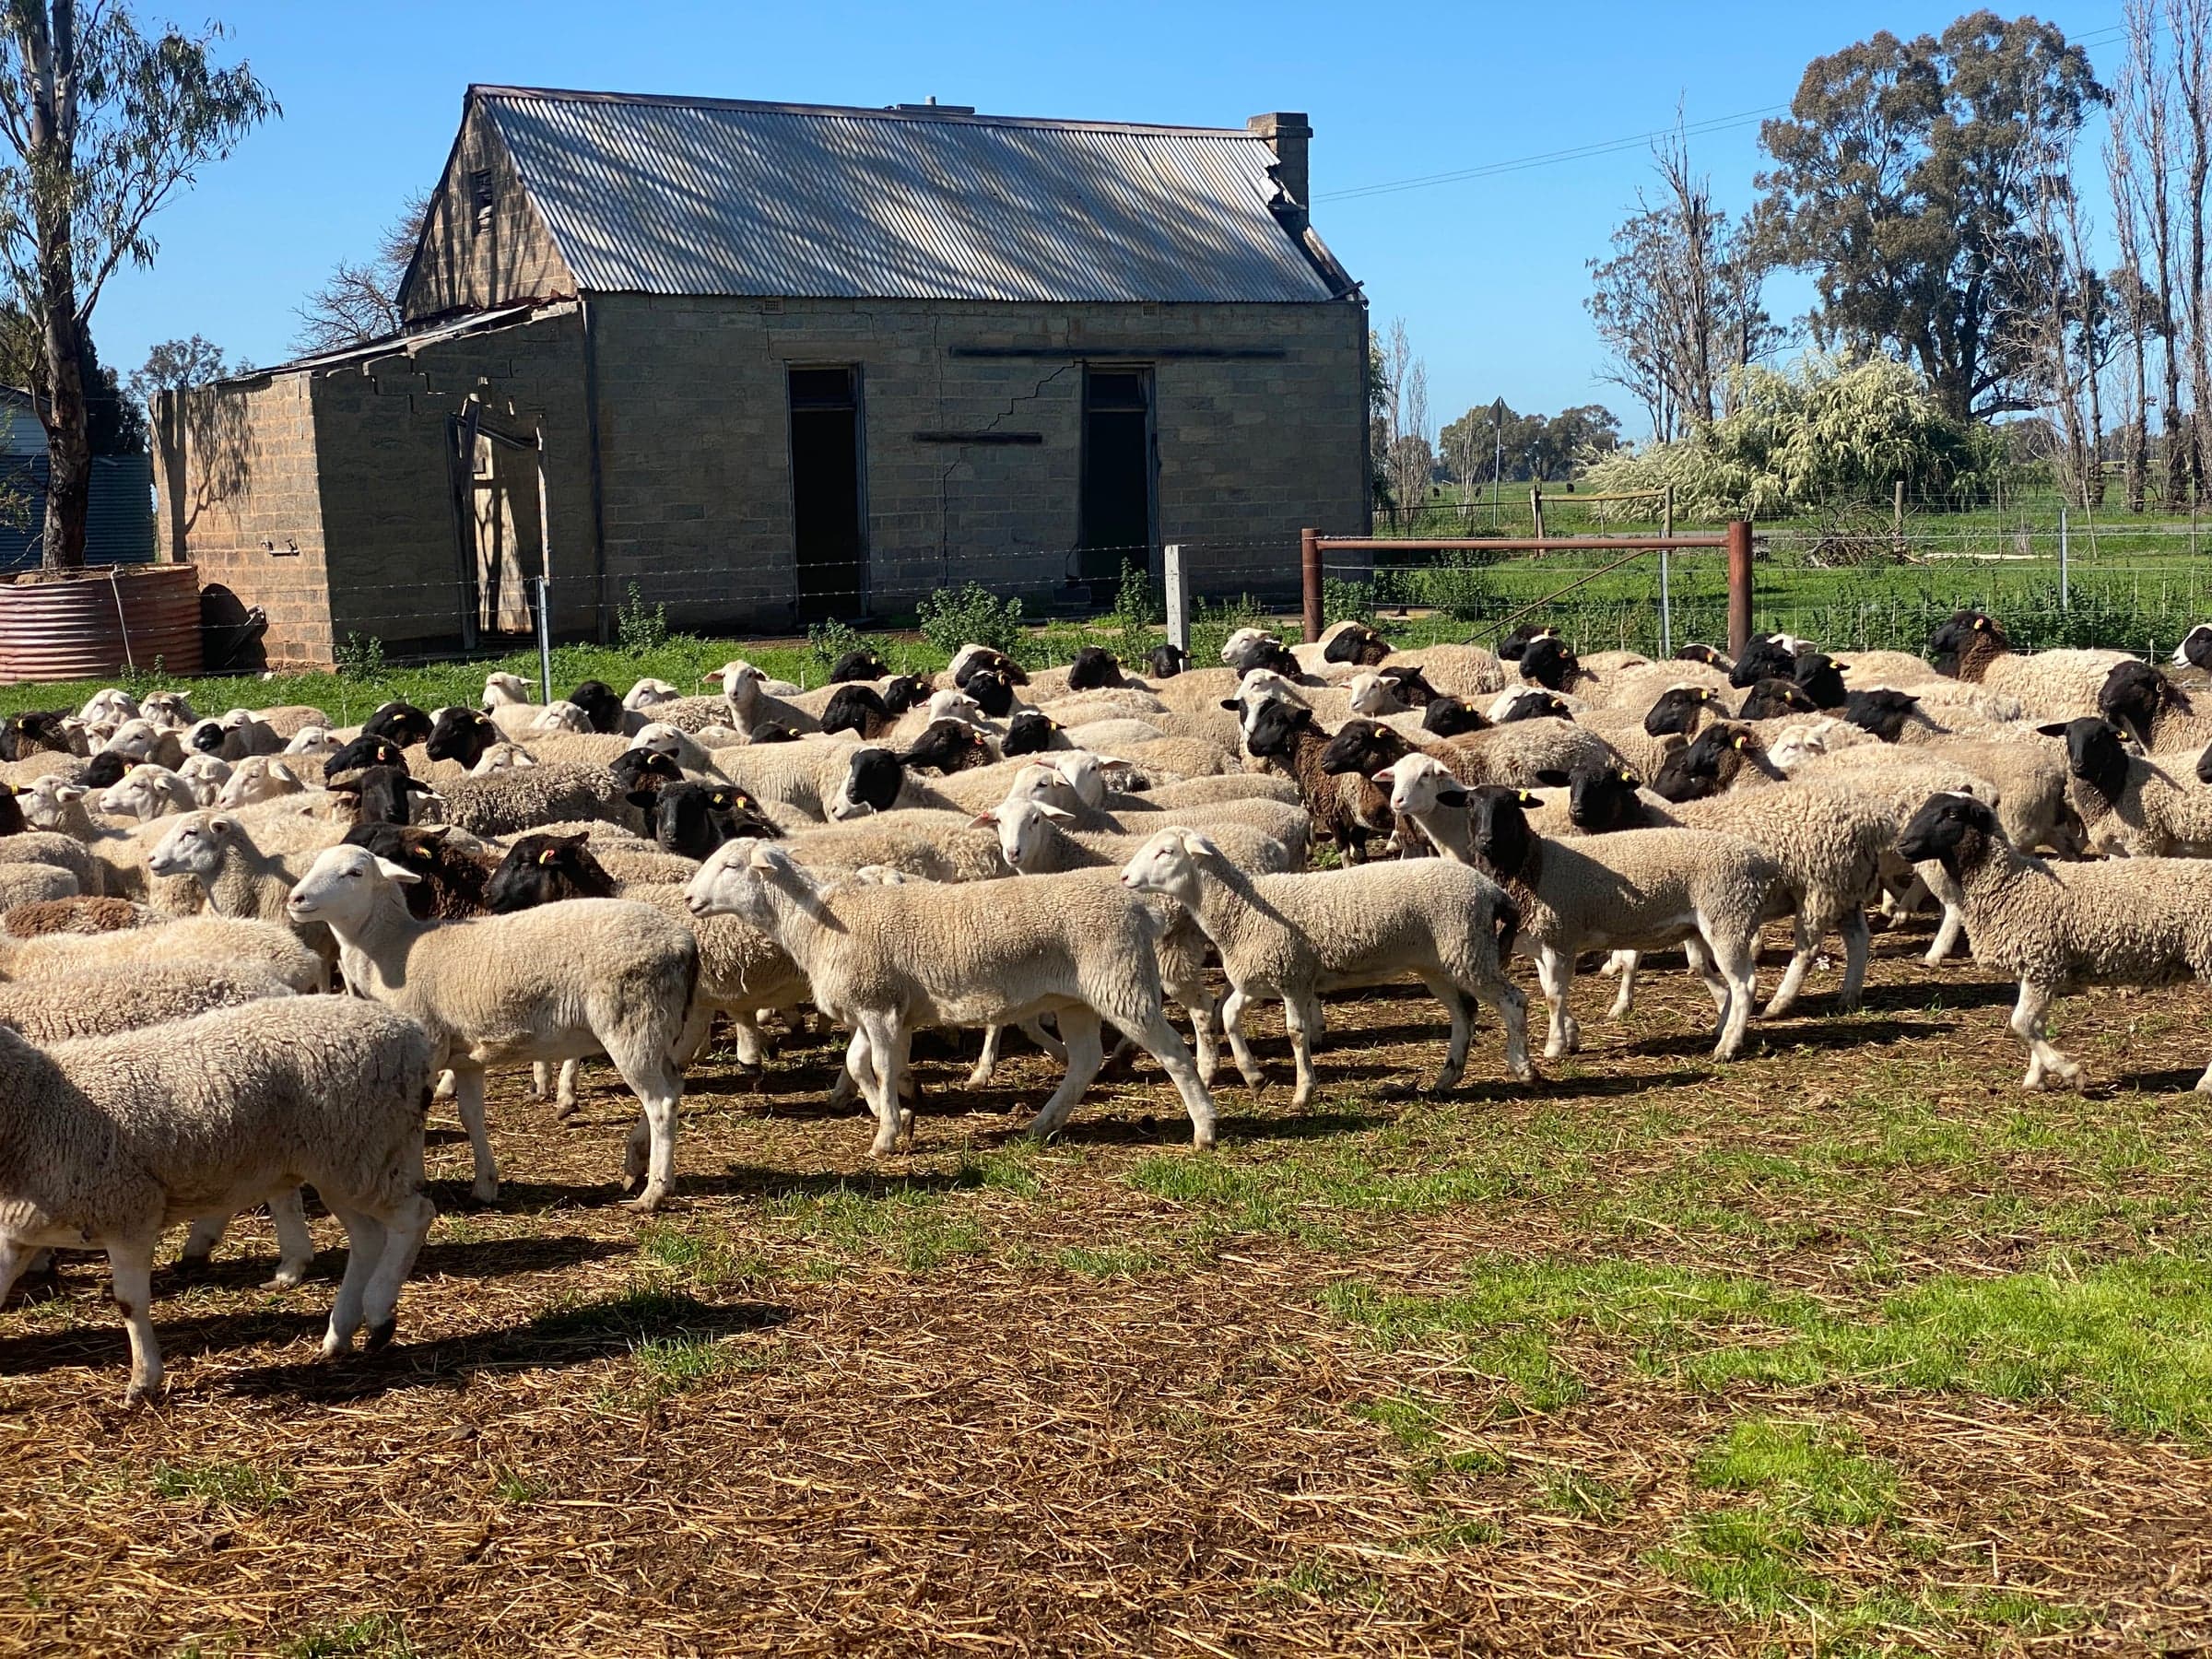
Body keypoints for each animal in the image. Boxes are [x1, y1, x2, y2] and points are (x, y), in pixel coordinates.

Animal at [0, 998, 436, 1401]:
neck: (41, 1103)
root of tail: (409, 1031)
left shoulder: (129, 1211)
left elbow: (130, 1303)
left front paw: (144, 1381)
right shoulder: (18, 1230)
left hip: (362, 1146)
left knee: (414, 1216)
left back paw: (378, 1313)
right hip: (339, 1163)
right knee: (368, 1238)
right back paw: (339, 1333)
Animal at [688, 841, 1217, 1152]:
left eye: (731, 866)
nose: (691, 901)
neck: (818, 920)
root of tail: (1138, 907)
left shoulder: (878, 1004)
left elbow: (881, 1068)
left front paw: (886, 1134)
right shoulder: (877, 1005)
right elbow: (860, 1066)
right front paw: (896, 1118)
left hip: (1121, 983)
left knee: (1174, 1053)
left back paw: (1205, 1129)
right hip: (1078, 1000)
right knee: (1086, 1060)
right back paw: (1041, 1125)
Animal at [1896, 790, 2212, 1091]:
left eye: (1951, 814)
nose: (1902, 845)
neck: (2011, 883)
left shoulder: (2042, 962)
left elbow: (2021, 1023)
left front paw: (2070, 1072)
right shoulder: (2033, 968)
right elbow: (2036, 1024)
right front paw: (2037, 1078)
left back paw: (2205, 1084)